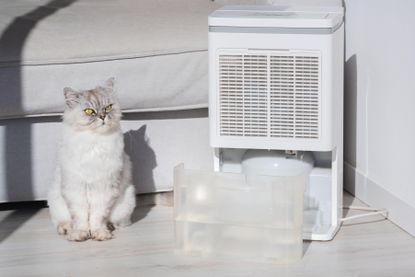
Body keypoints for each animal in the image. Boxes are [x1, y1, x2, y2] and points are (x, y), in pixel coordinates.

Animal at [48, 77, 136, 239]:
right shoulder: (75, 188)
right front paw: (80, 234)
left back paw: (109, 227)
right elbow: (80, 217)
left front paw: (99, 234)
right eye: (89, 111)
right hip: (55, 200)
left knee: (116, 222)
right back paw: (67, 229)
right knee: (61, 221)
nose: (102, 117)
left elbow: (97, 217)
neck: (94, 141)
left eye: (108, 107)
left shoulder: (104, 188)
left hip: (126, 202)